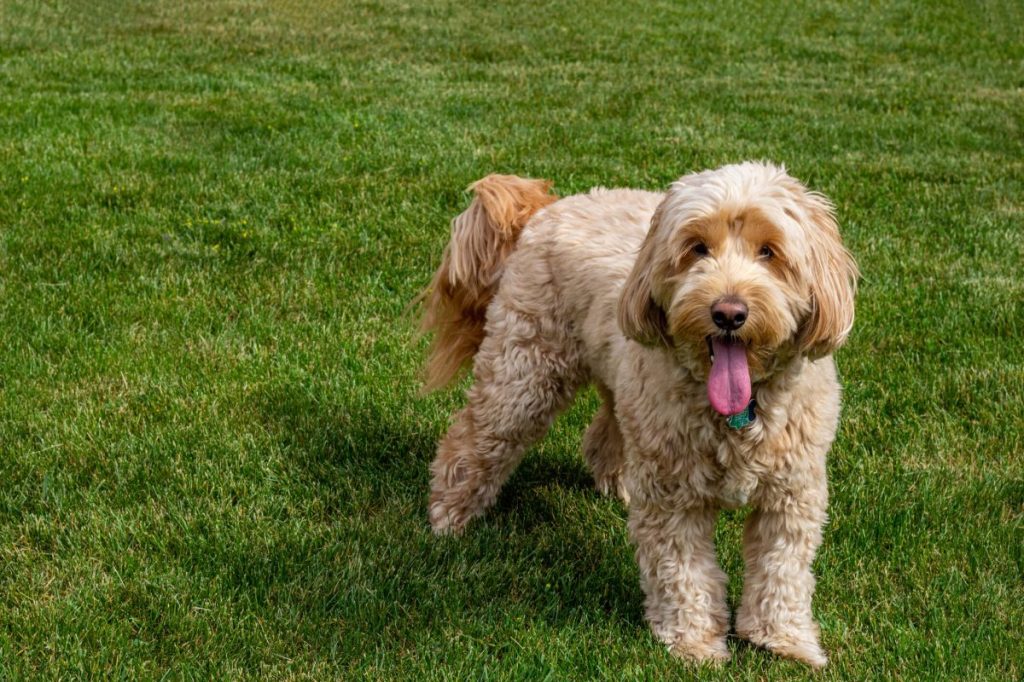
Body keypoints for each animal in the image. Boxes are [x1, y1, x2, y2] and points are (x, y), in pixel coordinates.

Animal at [415, 163, 856, 663]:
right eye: (697, 248)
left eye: (770, 251)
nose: (728, 312)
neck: (739, 412)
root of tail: (550, 207)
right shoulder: (673, 500)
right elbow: (683, 573)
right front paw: (694, 642)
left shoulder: (792, 493)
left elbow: (782, 570)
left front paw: (784, 639)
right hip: (524, 371)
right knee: (474, 437)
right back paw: (449, 517)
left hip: (624, 387)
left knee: (603, 432)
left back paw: (618, 484)